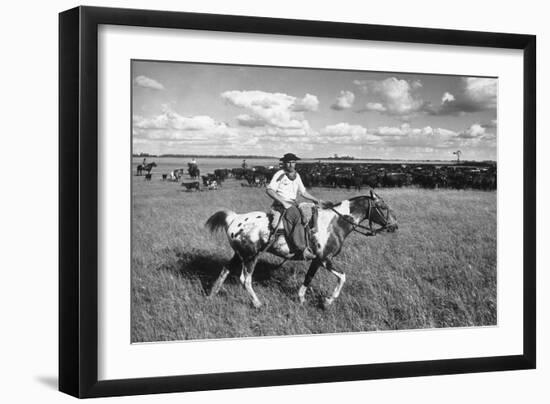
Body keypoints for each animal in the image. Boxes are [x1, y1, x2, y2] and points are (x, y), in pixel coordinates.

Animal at [205, 191, 398, 308]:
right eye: (383, 207)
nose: (394, 226)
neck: (335, 223)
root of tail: (234, 218)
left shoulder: (317, 260)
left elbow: (309, 277)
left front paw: (301, 298)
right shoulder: (325, 259)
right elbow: (342, 277)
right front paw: (327, 302)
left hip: (239, 255)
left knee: (225, 270)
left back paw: (212, 295)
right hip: (251, 257)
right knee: (245, 280)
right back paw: (258, 303)